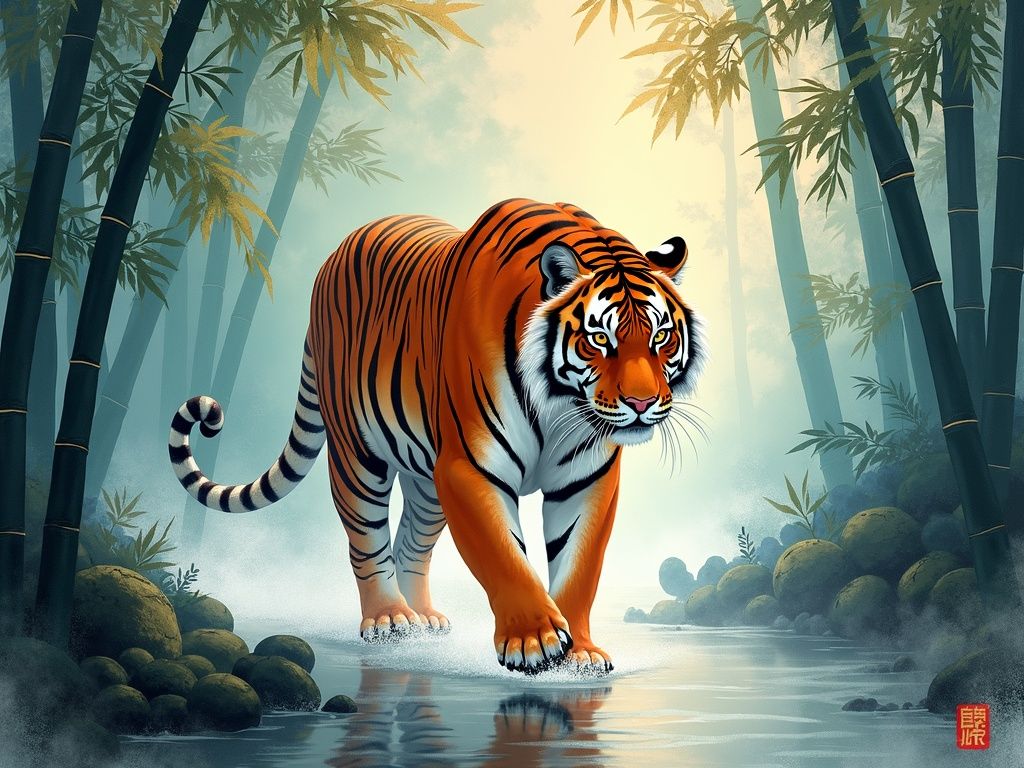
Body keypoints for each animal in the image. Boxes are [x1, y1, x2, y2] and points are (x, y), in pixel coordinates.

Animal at [168, 198, 704, 673]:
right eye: (599, 338)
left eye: (660, 337)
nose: (641, 403)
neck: (561, 404)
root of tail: (337, 251)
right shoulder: (471, 466)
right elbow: (504, 556)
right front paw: (534, 641)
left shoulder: (588, 478)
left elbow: (579, 567)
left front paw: (581, 653)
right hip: (357, 455)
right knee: (366, 538)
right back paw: (389, 619)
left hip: (426, 480)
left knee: (411, 542)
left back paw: (422, 617)